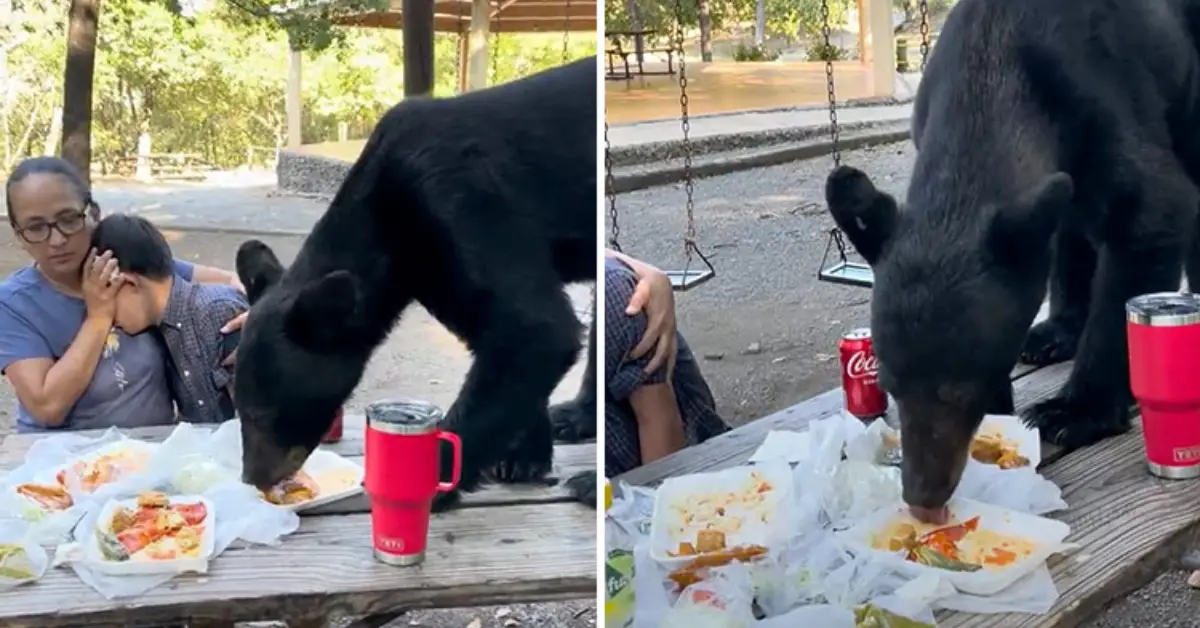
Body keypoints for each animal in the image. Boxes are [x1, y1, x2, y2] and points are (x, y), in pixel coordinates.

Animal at [230, 56, 600, 513]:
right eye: (238, 407)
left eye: (263, 413)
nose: (254, 477)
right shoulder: (433, 268)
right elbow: (501, 335)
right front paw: (522, 456)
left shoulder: (462, 201)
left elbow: (534, 329)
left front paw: (432, 482)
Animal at [825, 0, 1200, 523]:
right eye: (889, 384)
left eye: (961, 390)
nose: (921, 497)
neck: (990, 66)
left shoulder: (1102, 94)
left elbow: (1152, 215)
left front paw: (1076, 411)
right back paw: (1056, 331)